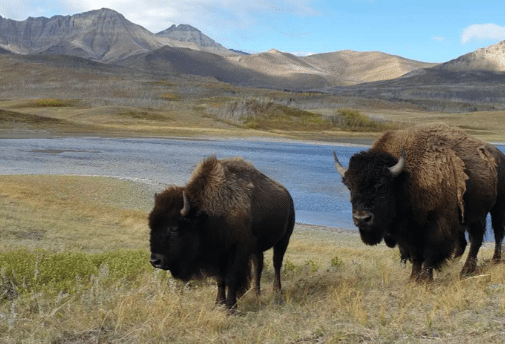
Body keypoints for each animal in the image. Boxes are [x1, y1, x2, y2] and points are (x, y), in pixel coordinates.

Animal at [148, 156, 294, 310]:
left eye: (175, 228)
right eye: (151, 226)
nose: (155, 261)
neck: (209, 215)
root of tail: (287, 195)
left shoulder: (236, 252)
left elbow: (231, 278)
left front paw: (231, 307)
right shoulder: (218, 255)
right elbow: (220, 279)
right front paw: (218, 303)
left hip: (283, 239)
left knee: (277, 263)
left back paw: (277, 290)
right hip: (257, 248)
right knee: (258, 266)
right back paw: (256, 293)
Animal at [332, 123, 502, 280]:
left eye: (381, 185)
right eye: (349, 186)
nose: (362, 219)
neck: (404, 180)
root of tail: (498, 154)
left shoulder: (436, 225)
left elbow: (429, 252)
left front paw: (425, 279)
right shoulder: (409, 231)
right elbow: (415, 254)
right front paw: (413, 278)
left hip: (492, 210)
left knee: (488, 236)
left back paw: (477, 267)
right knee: (470, 241)